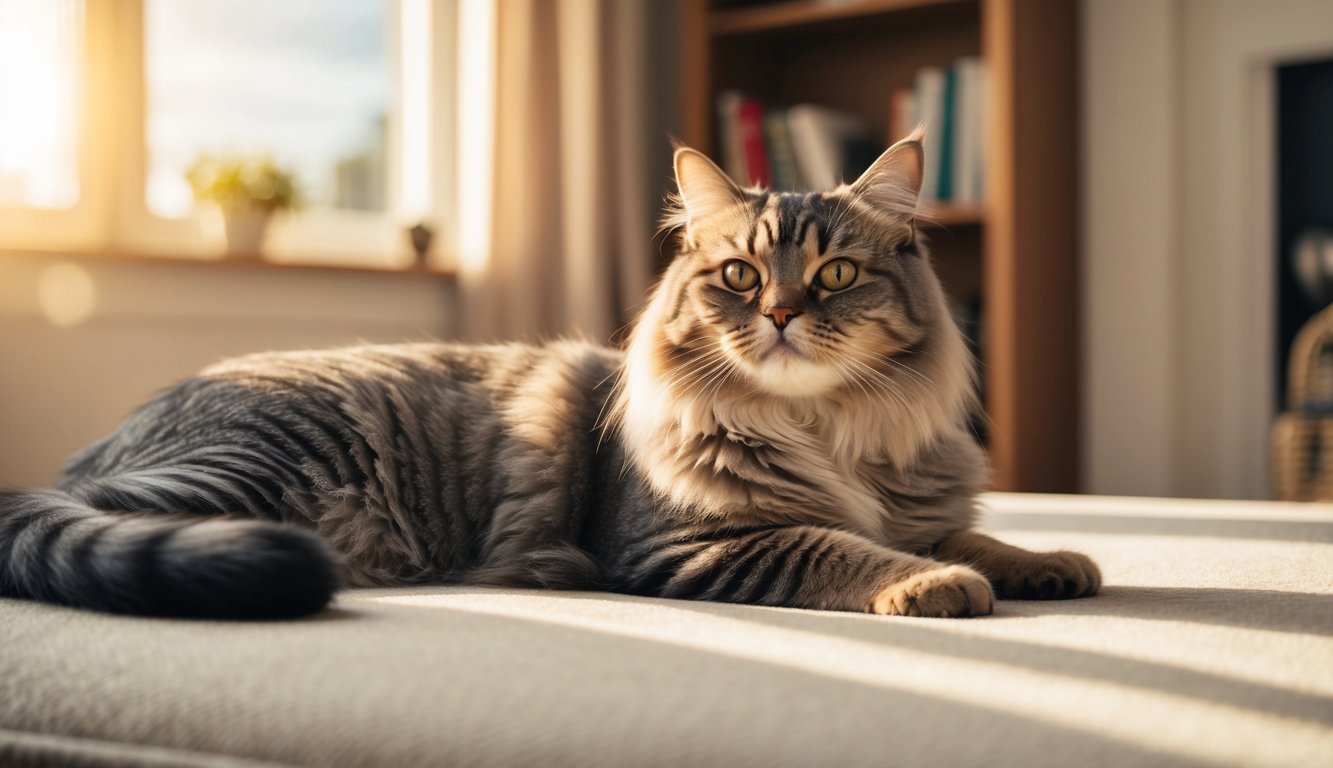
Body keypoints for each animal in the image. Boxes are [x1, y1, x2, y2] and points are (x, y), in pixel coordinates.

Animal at [0, 132, 1098, 621]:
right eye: (739, 277)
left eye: (833, 276)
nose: (782, 316)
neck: (830, 433)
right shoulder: (689, 549)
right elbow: (843, 550)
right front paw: (934, 585)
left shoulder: (913, 498)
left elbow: (970, 531)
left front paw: (1053, 561)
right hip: (249, 470)